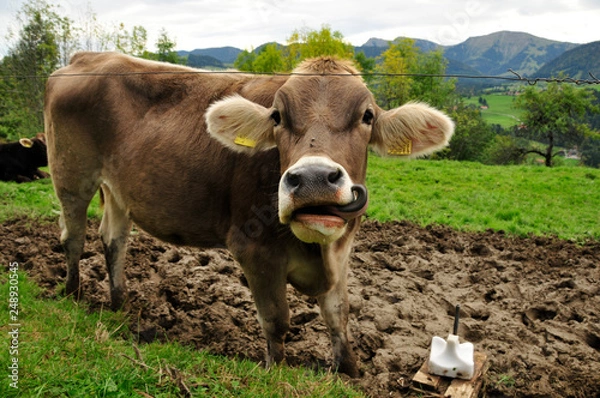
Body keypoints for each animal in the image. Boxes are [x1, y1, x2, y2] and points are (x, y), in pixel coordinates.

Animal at [44, 52, 452, 376]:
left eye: (367, 115)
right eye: (277, 116)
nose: (315, 179)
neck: (318, 252)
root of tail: (88, 57)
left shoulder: (342, 252)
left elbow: (339, 315)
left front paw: (351, 374)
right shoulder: (254, 251)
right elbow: (276, 320)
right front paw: (276, 371)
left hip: (118, 188)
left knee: (114, 241)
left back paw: (120, 307)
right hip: (71, 174)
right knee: (73, 237)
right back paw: (73, 295)